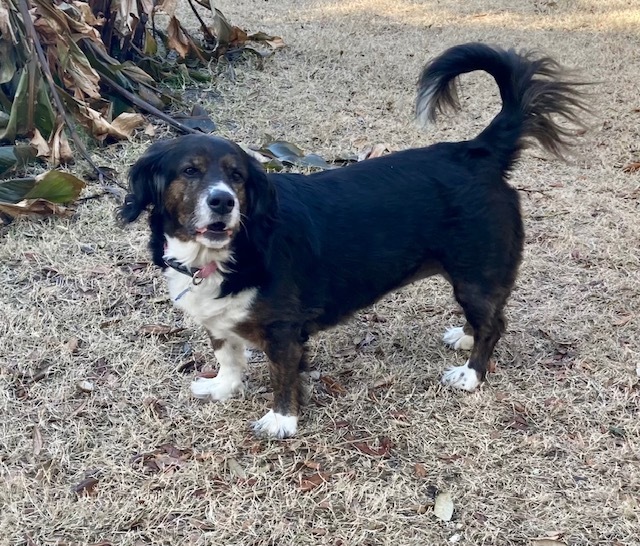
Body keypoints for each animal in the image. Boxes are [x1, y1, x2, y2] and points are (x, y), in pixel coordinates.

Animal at [117, 42, 588, 436]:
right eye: (189, 171)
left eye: (237, 177)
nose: (222, 202)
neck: (228, 251)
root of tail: (478, 152)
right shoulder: (220, 321)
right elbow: (228, 356)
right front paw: (222, 388)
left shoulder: (284, 332)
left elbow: (282, 377)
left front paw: (282, 420)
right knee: (488, 317)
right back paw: (466, 337)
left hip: (474, 274)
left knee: (494, 323)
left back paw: (471, 373)